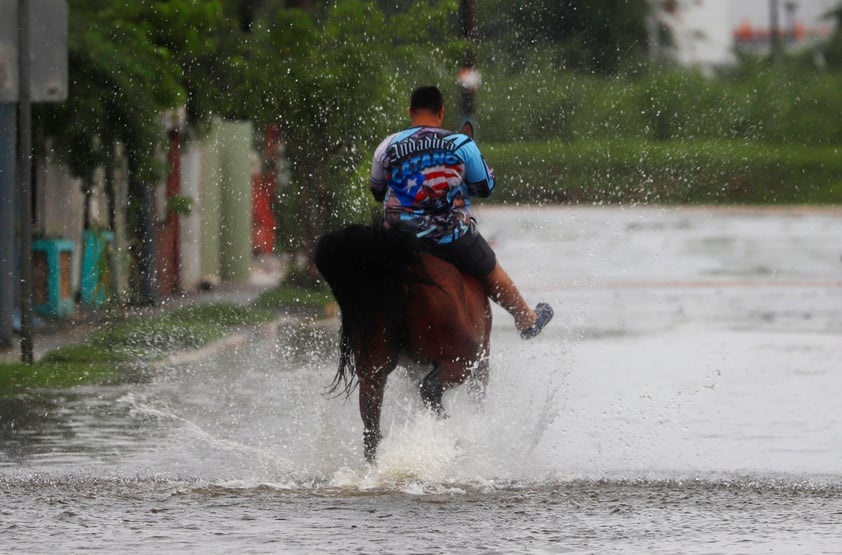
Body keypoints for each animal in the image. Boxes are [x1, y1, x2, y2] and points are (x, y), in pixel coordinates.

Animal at [312, 224, 488, 462]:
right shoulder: (479, 358)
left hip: (373, 365)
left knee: (371, 424)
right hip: (462, 358)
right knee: (430, 389)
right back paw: (451, 437)